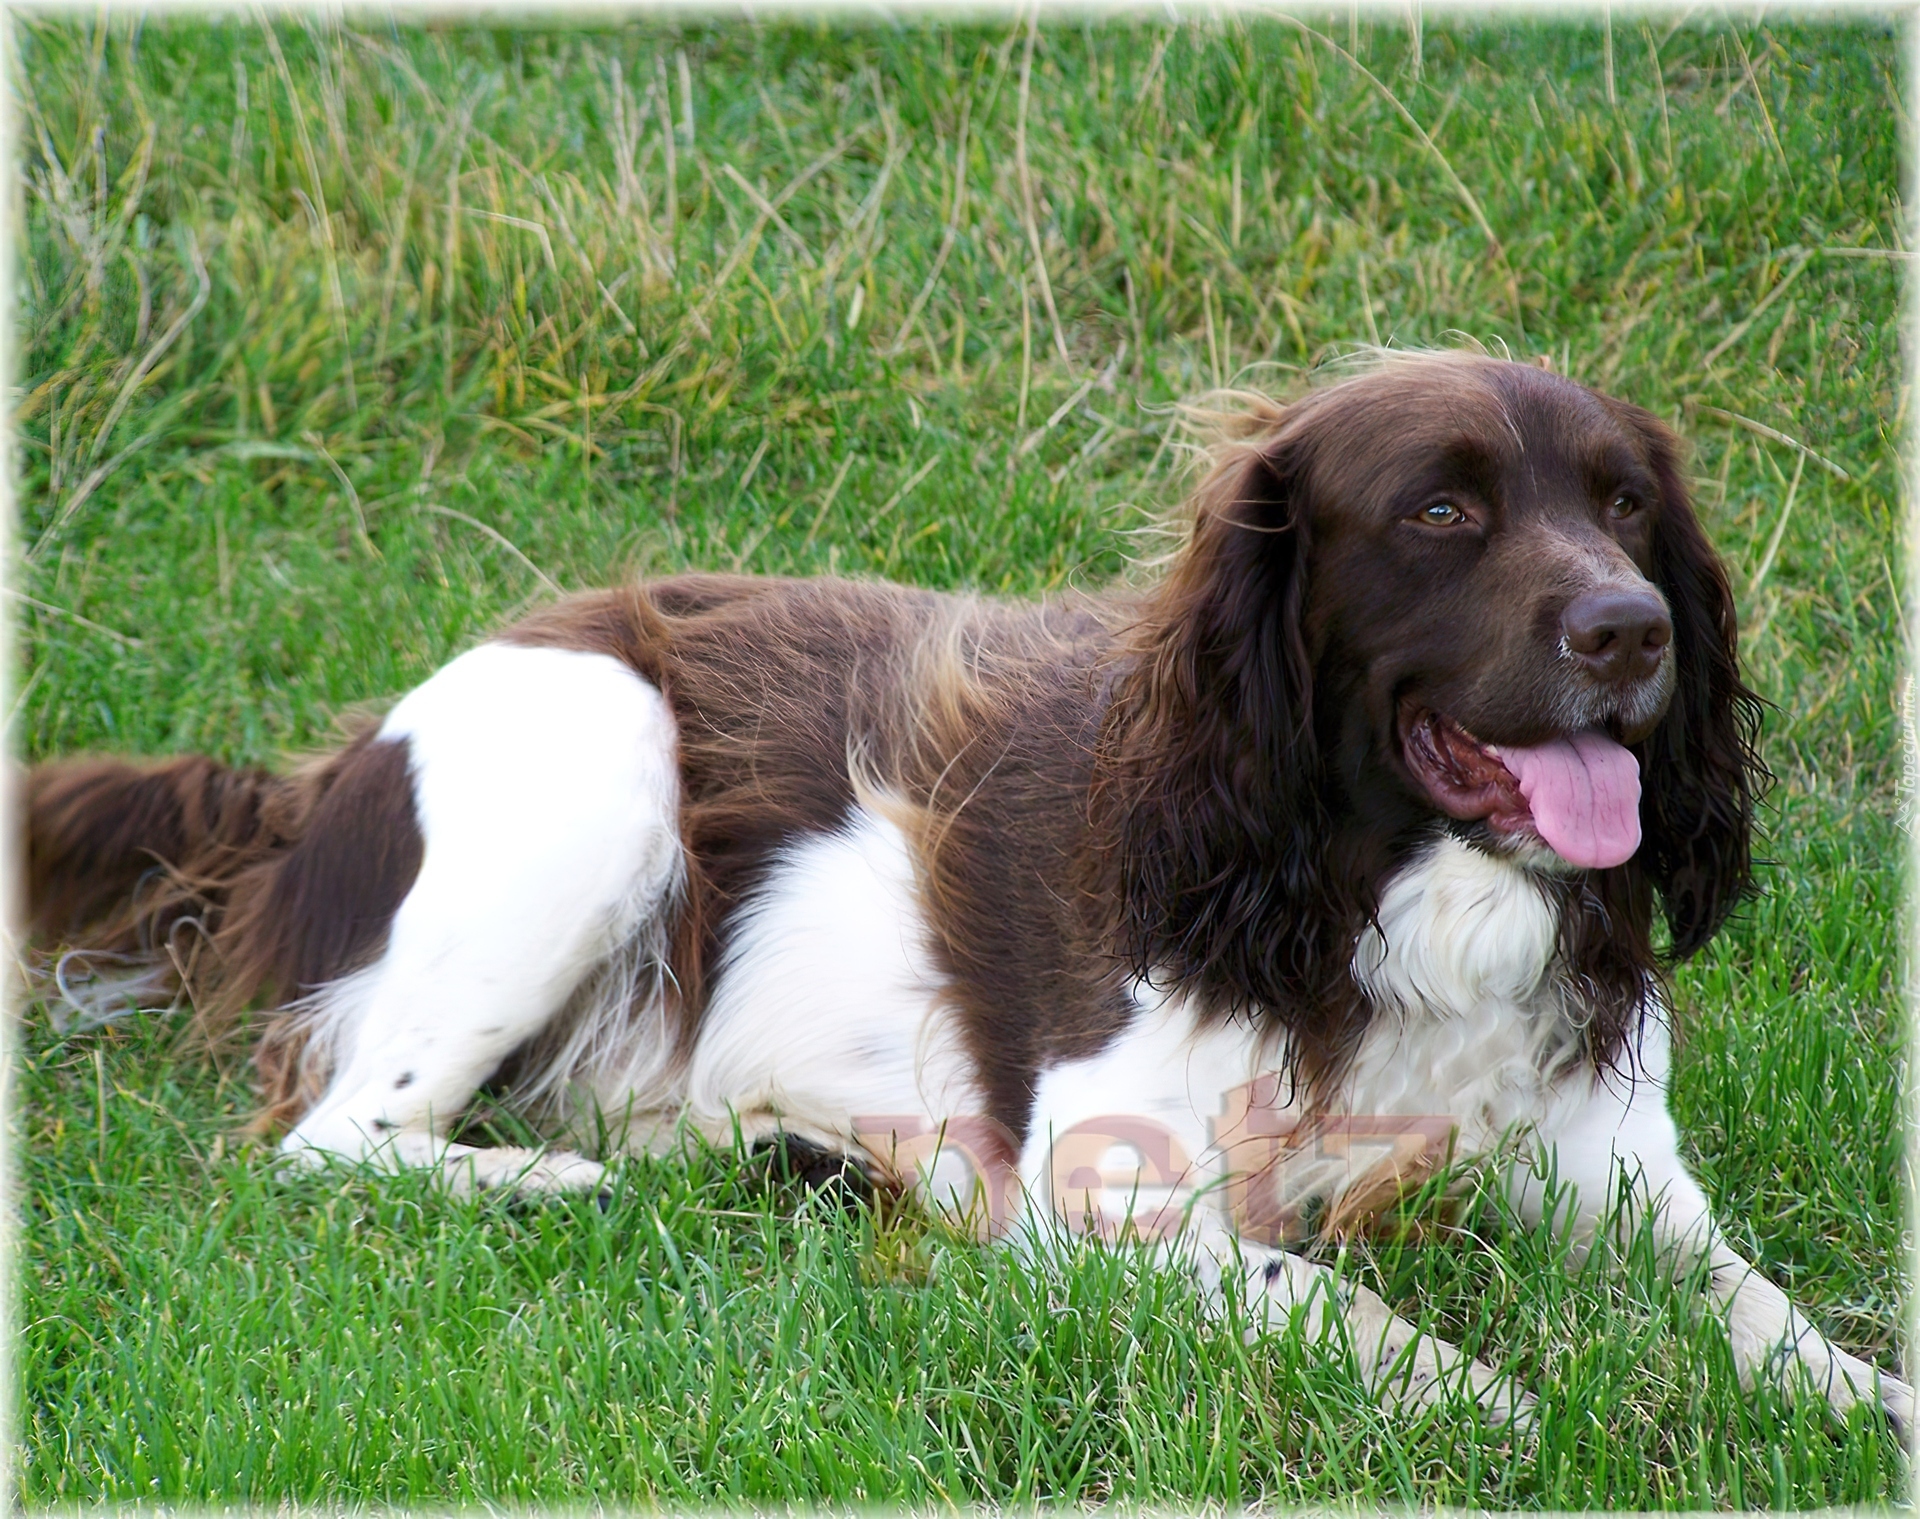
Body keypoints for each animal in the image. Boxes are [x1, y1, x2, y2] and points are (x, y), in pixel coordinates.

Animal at [22, 353, 1912, 1428]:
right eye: (1442, 510)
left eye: (1626, 503)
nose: (1634, 632)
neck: (1364, 890)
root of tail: (319, 765)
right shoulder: (1105, 1201)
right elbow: (1345, 1297)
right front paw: (1502, 1400)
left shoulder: (1619, 1172)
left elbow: (1761, 1308)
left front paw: (1856, 1397)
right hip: (599, 748)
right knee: (338, 1133)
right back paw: (557, 1176)